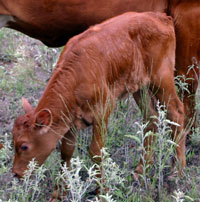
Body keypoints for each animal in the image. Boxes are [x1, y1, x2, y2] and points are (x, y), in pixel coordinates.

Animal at [11, 11, 185, 200]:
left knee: (177, 112)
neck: (77, 75)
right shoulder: (70, 120)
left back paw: (178, 171)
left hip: (161, 79)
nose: (15, 173)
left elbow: (96, 151)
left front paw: (102, 191)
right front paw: (58, 193)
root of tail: (160, 17)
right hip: (140, 87)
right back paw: (141, 169)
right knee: (151, 117)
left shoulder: (103, 111)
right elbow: (66, 152)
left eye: (24, 146)